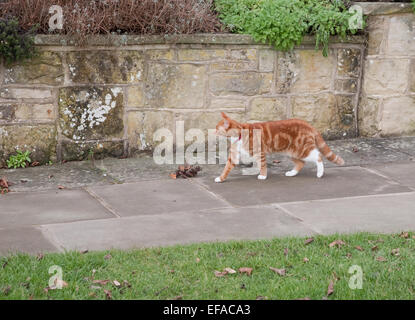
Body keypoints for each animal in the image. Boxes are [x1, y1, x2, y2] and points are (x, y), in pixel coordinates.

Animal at [214, 112, 344, 182]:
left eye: (217, 129)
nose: (213, 132)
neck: (240, 134)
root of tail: (307, 124)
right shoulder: (234, 156)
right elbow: (226, 168)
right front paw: (221, 178)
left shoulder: (260, 152)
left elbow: (262, 165)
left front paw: (263, 175)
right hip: (291, 152)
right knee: (301, 163)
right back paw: (292, 173)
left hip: (302, 150)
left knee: (318, 156)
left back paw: (320, 172)